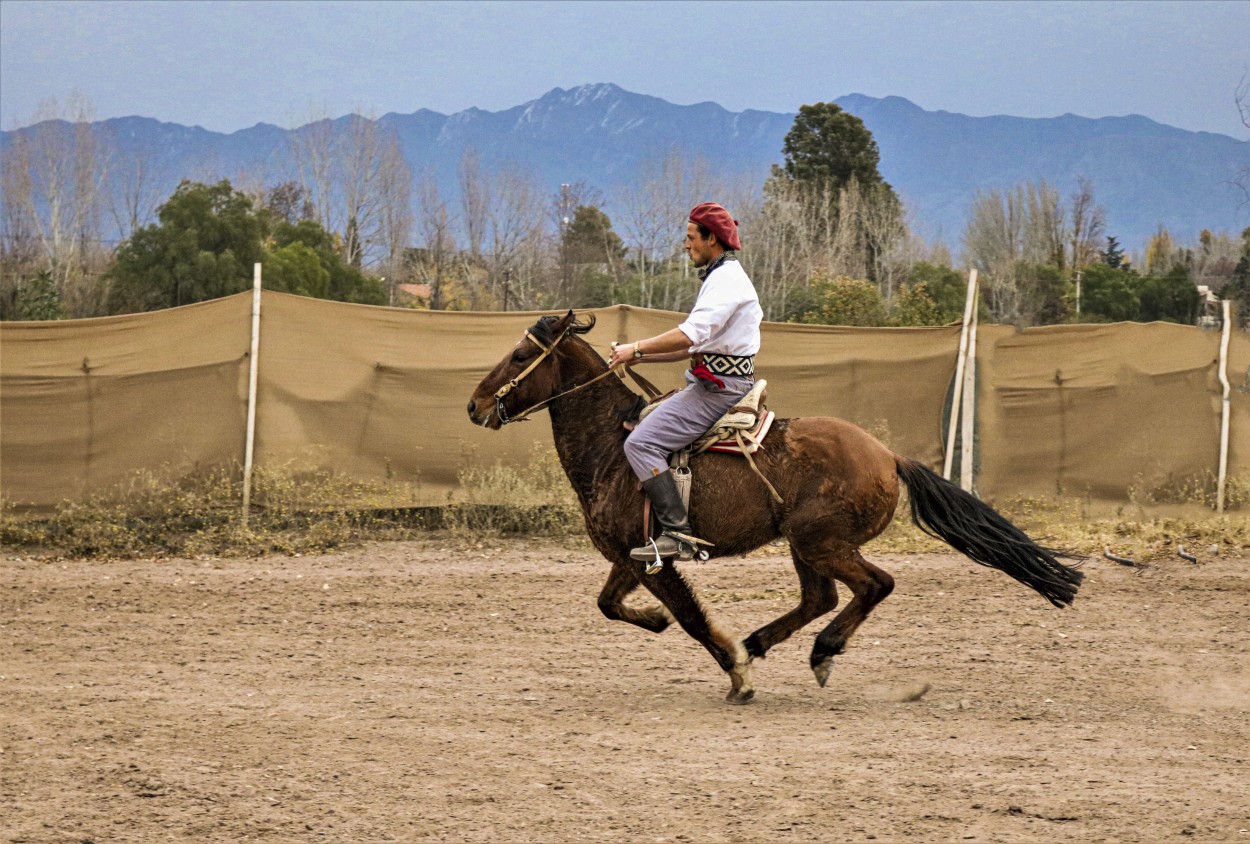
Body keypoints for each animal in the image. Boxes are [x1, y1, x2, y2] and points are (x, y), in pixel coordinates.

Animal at [465, 313, 1080, 705]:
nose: (475, 405)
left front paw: (736, 674)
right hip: (805, 544)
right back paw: (764, 641)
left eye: (521, 355)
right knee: (821, 597)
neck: (614, 447)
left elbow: (691, 618)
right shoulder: (632, 555)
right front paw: (661, 622)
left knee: (873, 585)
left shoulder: (655, 560)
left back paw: (818, 651)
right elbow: (610, 605)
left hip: (820, 541)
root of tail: (888, 456)